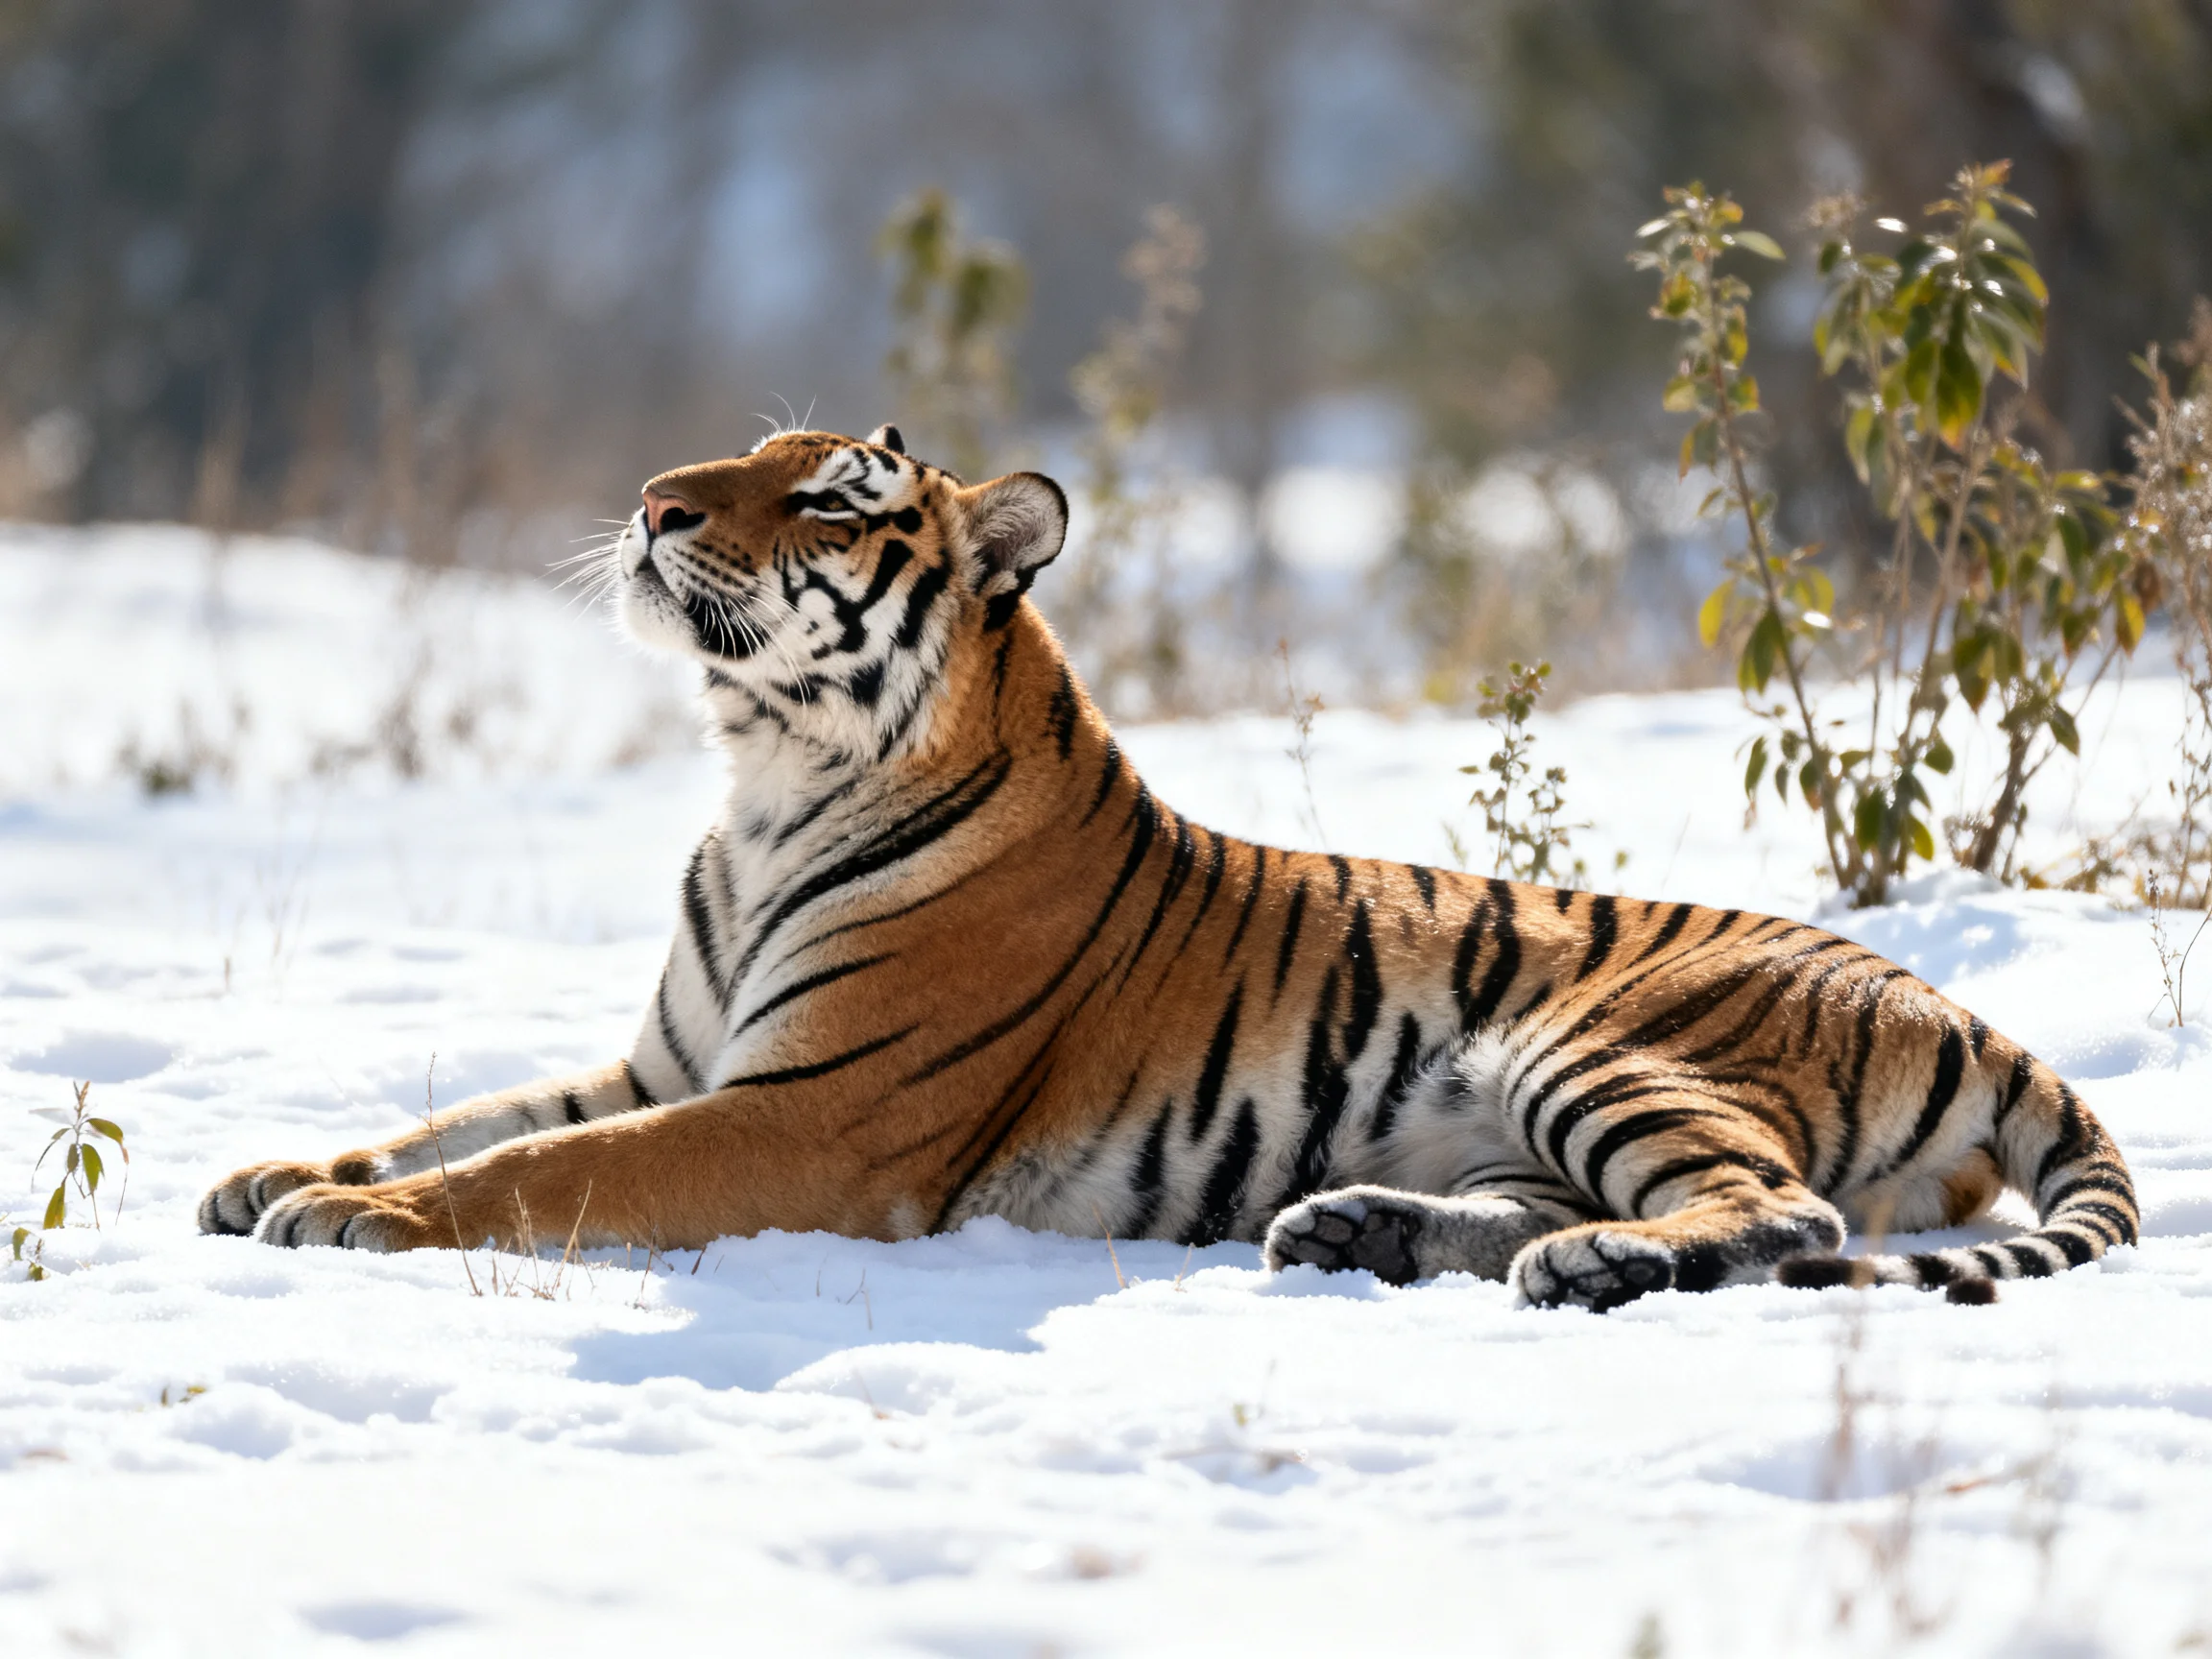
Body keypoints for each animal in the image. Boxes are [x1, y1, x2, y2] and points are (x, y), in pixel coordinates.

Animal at [197, 425, 2139, 1311]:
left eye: (825, 495)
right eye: (748, 453)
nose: (655, 505)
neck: (764, 781)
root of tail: (1952, 996)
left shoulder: (804, 1112)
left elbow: (545, 1167)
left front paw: (357, 1222)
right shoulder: (667, 1057)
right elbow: (468, 1115)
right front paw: (278, 1170)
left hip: (1594, 1044)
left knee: (1777, 1211)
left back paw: (1576, 1269)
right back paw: (1357, 1224)